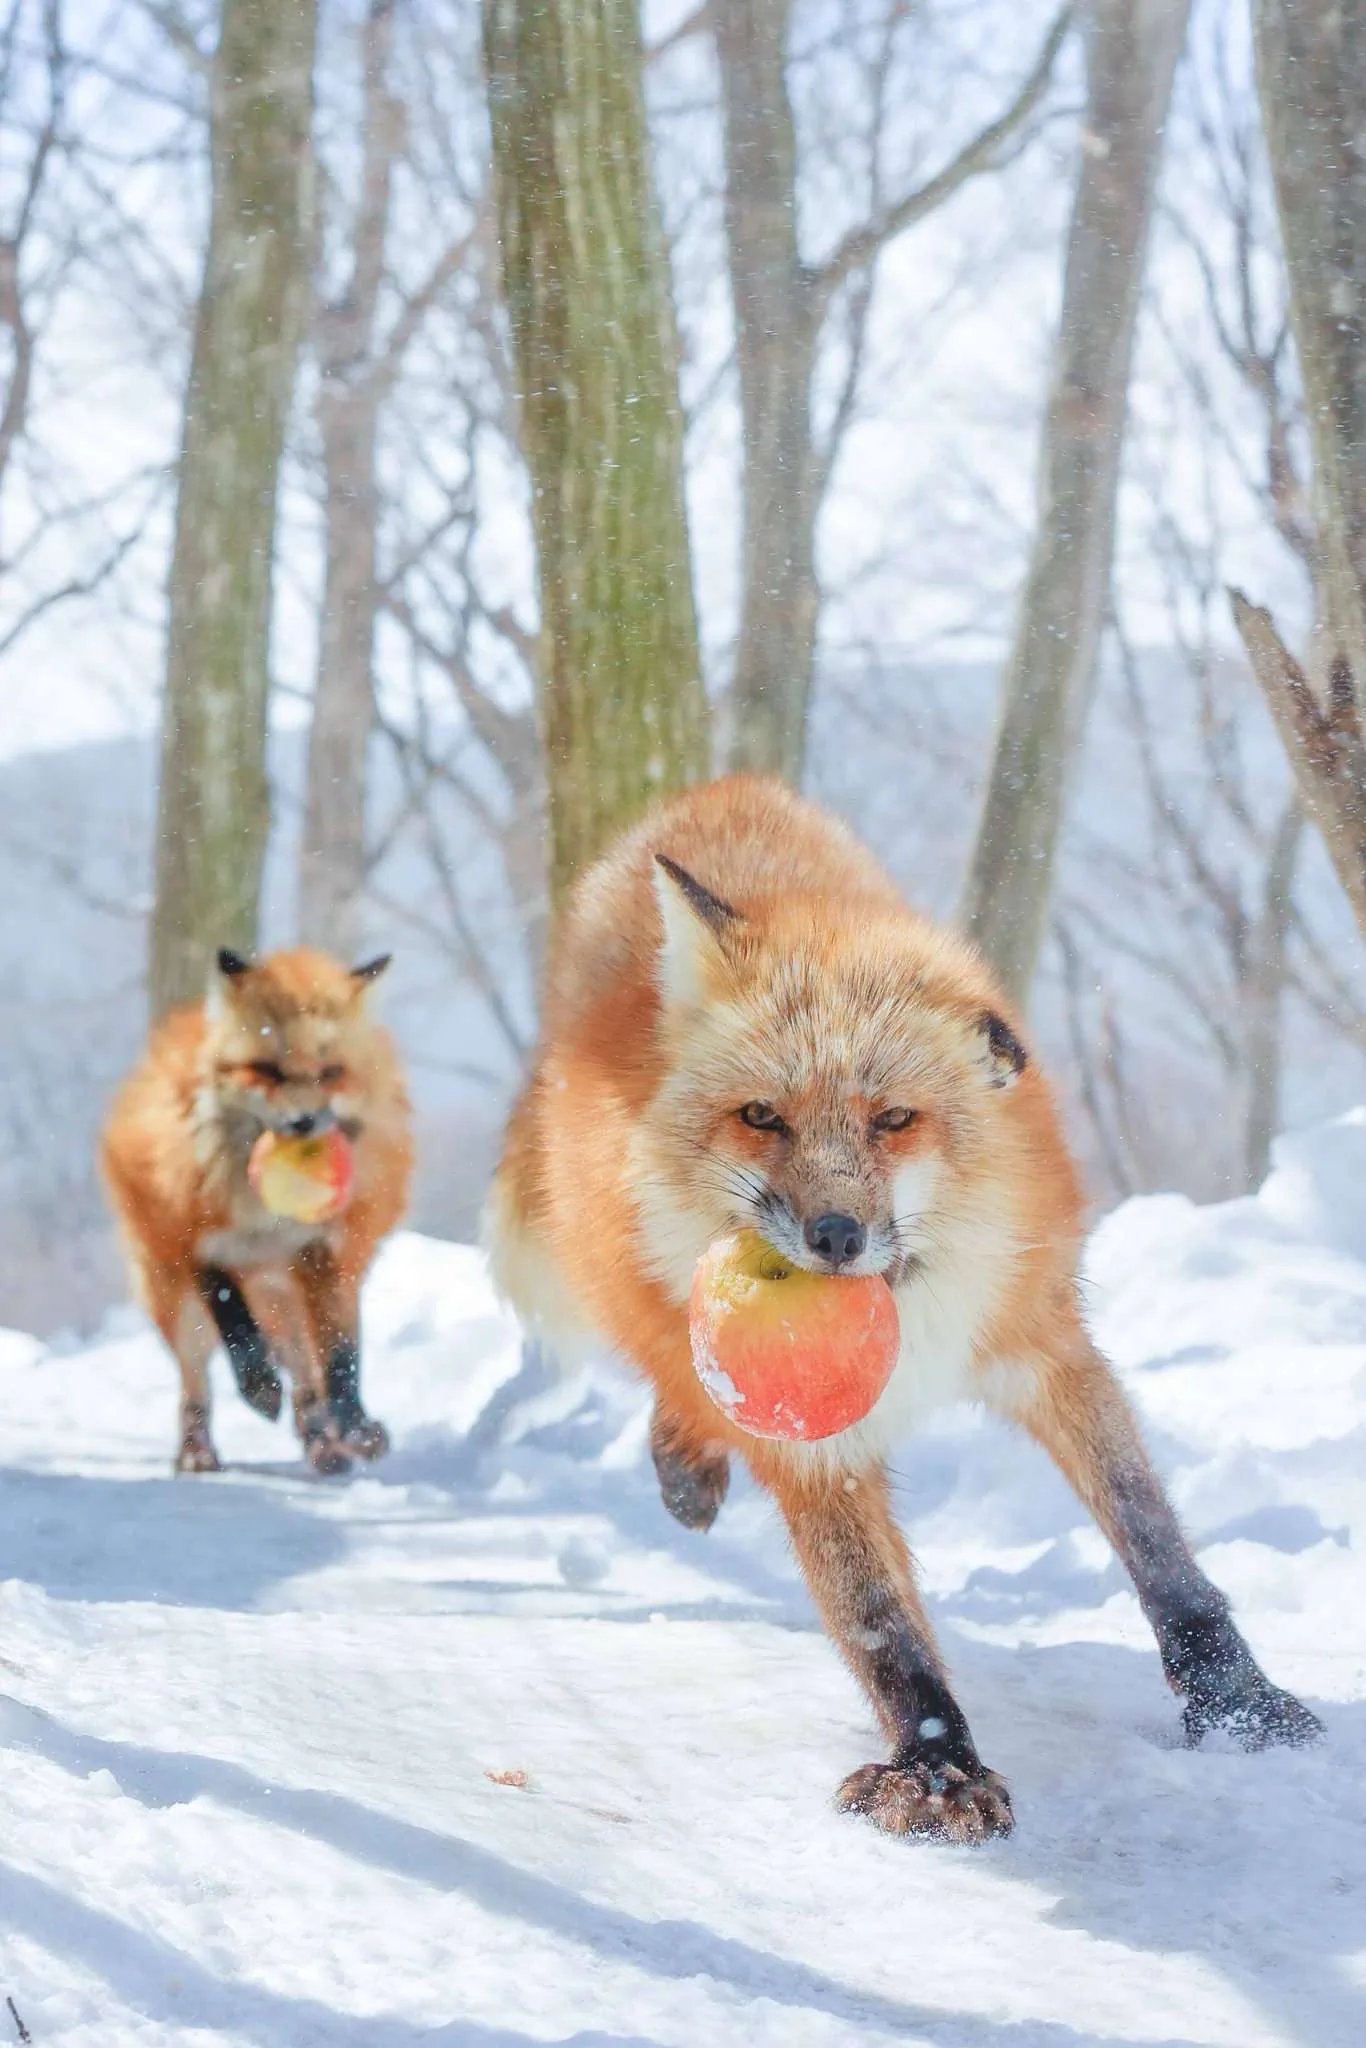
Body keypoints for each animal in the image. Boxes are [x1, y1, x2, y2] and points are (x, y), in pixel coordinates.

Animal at [102, 946, 413, 1476]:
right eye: (268, 1070)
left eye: (330, 1072)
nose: (304, 1123)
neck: (267, 1220)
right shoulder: (199, 1244)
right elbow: (237, 1327)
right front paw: (260, 1388)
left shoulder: (323, 1251)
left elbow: (341, 1357)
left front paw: (352, 1425)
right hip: (174, 1296)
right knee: (196, 1381)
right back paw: (197, 1450)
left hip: (295, 1292)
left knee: (307, 1375)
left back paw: (325, 1443)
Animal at [486, 775, 1320, 1842]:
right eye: (762, 1118)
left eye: (893, 1121)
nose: (835, 1236)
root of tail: (717, 792)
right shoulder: (812, 1447)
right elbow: (881, 1624)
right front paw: (936, 1767)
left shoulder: (1047, 1346)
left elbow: (1159, 1548)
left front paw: (1237, 1702)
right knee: (676, 1374)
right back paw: (687, 1462)